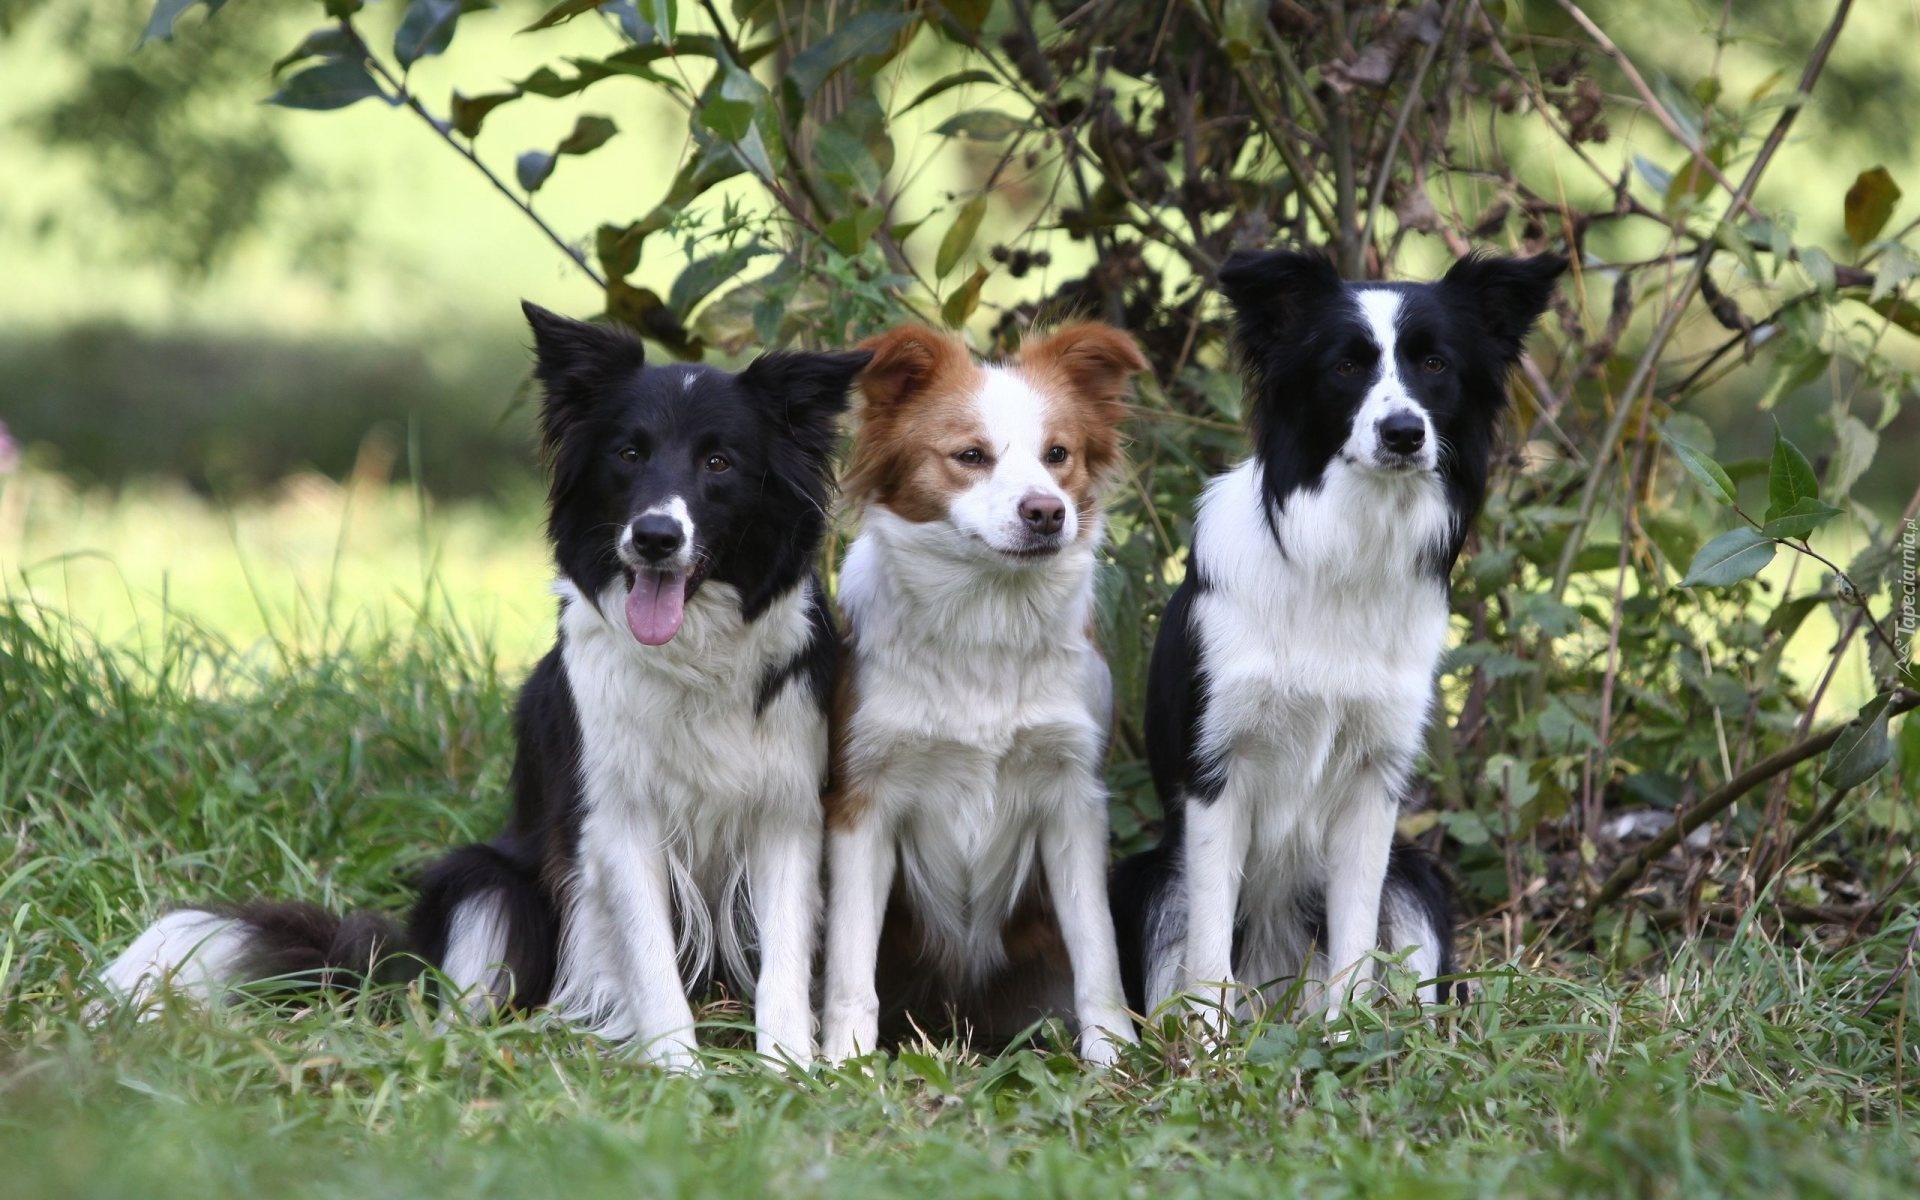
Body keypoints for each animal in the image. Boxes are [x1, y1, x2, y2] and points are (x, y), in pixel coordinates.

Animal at [105, 299, 871, 1067]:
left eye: (719, 462)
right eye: (628, 454)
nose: (654, 537)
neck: (691, 656)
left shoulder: (785, 812)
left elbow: (783, 959)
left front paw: (787, 1068)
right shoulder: (616, 820)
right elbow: (651, 961)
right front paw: (678, 1070)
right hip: (484, 880)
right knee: (454, 1006)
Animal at [821, 322, 1144, 1059]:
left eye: (1058, 455)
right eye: (970, 456)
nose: (1047, 512)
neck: (986, 618)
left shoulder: (1072, 798)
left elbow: (1098, 948)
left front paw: (1113, 1055)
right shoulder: (863, 801)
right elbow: (850, 959)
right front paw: (845, 1060)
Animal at [1113, 247, 1559, 1021]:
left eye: (1435, 364)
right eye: (1346, 366)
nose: (1404, 432)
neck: (1347, 550)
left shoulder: (1372, 784)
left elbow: (1353, 947)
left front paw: (1347, 1038)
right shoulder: (1215, 777)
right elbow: (1208, 955)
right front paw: (1212, 1047)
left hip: (1417, 880)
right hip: (1148, 881)